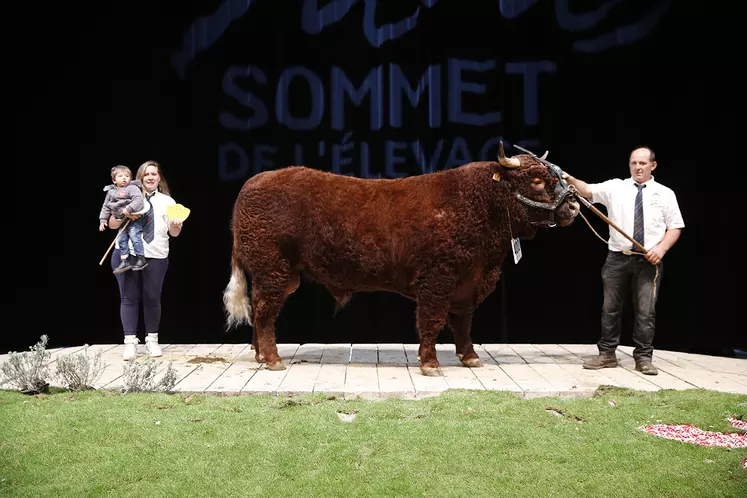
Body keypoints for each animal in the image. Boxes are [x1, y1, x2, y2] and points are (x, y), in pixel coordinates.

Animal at [219, 142, 580, 376]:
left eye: (555, 178)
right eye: (536, 181)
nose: (574, 206)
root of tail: (253, 182)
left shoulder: (467, 285)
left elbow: (463, 323)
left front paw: (470, 357)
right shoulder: (437, 280)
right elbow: (432, 321)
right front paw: (430, 363)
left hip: (278, 274)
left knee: (259, 311)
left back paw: (259, 356)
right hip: (273, 269)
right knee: (264, 312)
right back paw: (272, 359)